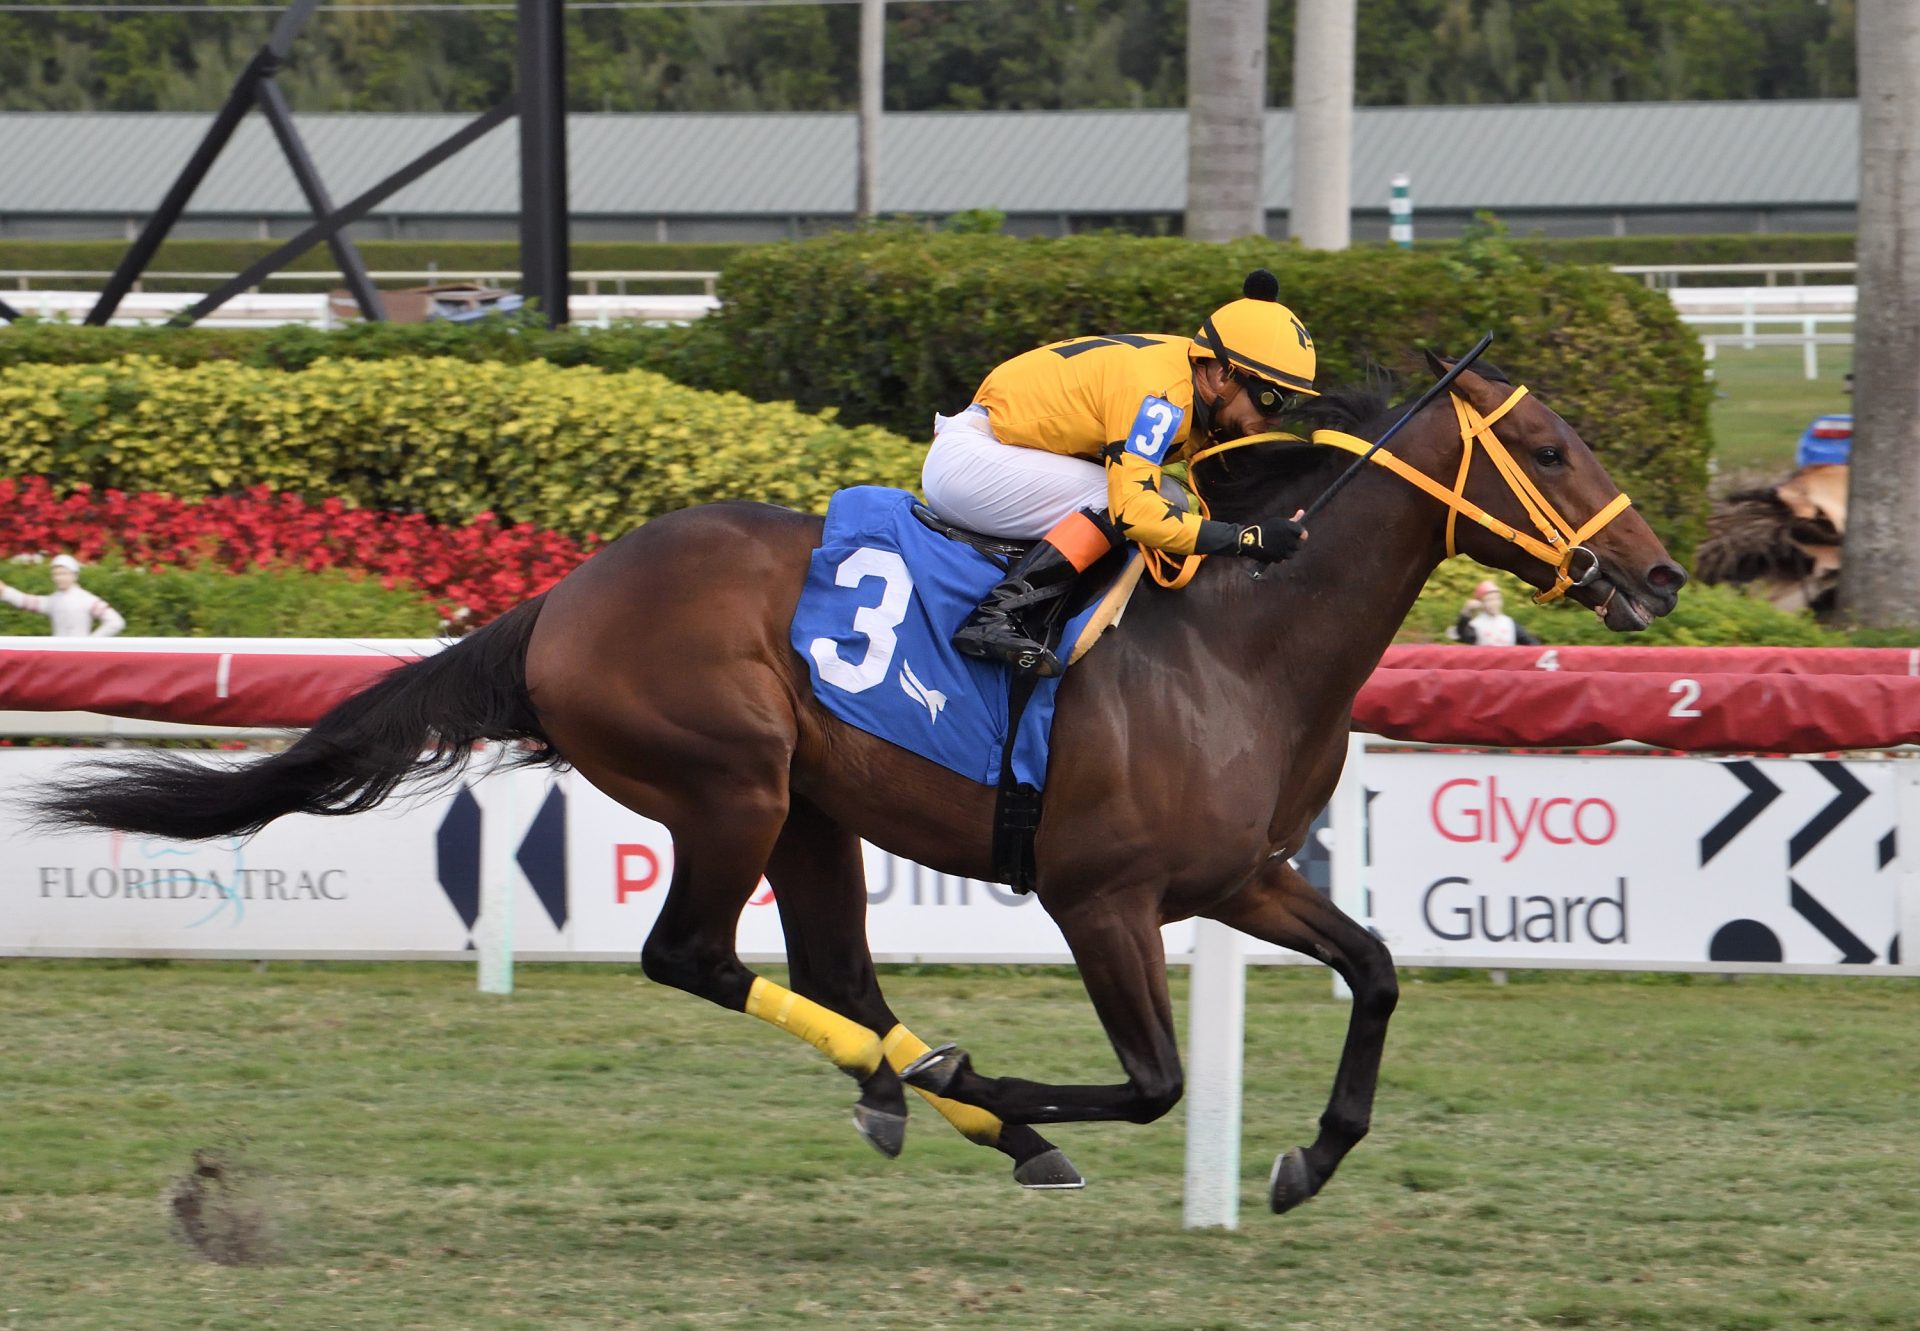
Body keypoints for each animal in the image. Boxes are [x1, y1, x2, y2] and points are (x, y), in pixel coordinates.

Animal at [30, 359, 1681, 1206]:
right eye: (1550, 442)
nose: (1661, 575)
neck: (1233, 634)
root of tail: (561, 597)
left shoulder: (1242, 874)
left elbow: (1381, 967)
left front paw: (1304, 1156)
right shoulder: (1099, 894)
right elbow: (1153, 1078)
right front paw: (997, 1081)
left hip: (812, 810)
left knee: (830, 965)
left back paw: (931, 1096)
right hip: (731, 782)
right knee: (695, 954)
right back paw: (951, 1091)